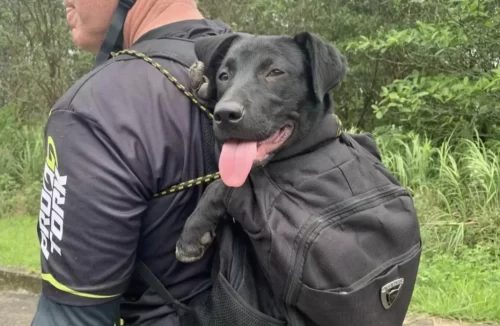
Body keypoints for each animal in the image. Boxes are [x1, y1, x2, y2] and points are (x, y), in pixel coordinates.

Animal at [176, 31, 348, 264]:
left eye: (275, 72)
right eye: (223, 76)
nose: (225, 114)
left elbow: (223, 184)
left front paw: (193, 232)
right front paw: (202, 84)